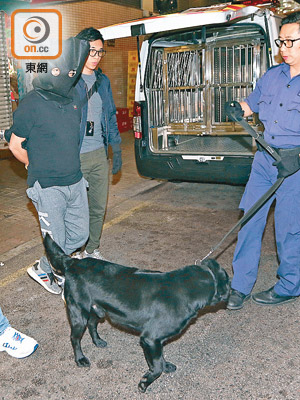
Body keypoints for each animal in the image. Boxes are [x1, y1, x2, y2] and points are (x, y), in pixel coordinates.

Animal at [43, 233, 230, 392]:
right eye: (228, 283)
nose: (234, 294)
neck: (184, 288)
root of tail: (72, 262)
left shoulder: (156, 341)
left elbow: (160, 360)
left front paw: (165, 366)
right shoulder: (150, 339)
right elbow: (157, 367)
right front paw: (145, 382)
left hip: (97, 310)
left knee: (92, 324)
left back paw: (98, 341)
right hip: (78, 313)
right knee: (74, 338)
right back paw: (80, 359)